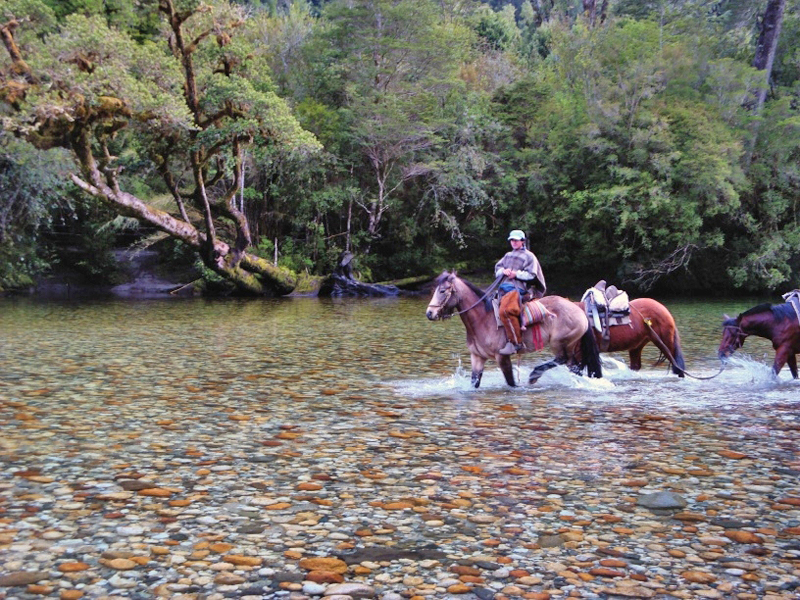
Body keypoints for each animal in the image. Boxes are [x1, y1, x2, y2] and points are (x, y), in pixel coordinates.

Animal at [424, 274, 600, 390]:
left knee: (562, 360)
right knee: (574, 367)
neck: (482, 319)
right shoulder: (477, 357)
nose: (429, 313)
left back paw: (534, 375)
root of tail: (579, 310)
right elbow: (474, 382)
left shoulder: (502, 357)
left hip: (560, 343)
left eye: (443, 291)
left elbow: (511, 383)